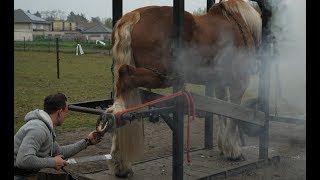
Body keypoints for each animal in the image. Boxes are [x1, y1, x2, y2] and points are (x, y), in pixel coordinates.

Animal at [99, 0, 260, 177]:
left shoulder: (220, 83)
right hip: (160, 76)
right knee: (124, 85)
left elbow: (222, 111)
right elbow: (234, 114)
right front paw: (233, 151)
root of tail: (133, 16)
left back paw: (120, 164)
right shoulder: (239, 82)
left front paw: (224, 147)